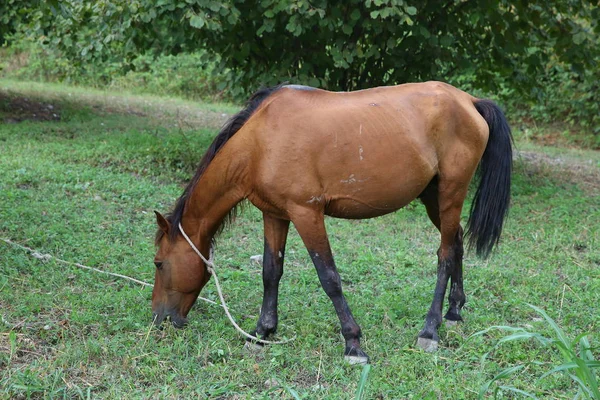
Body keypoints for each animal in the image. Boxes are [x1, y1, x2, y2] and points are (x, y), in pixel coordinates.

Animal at [151, 79, 510, 364]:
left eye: (158, 263)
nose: (159, 319)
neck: (261, 141)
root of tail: (469, 101)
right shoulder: (275, 214)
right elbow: (271, 271)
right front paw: (263, 332)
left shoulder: (306, 213)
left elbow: (329, 278)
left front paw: (353, 342)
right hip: (434, 199)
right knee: (457, 242)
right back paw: (454, 313)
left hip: (451, 192)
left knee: (445, 255)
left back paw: (430, 329)